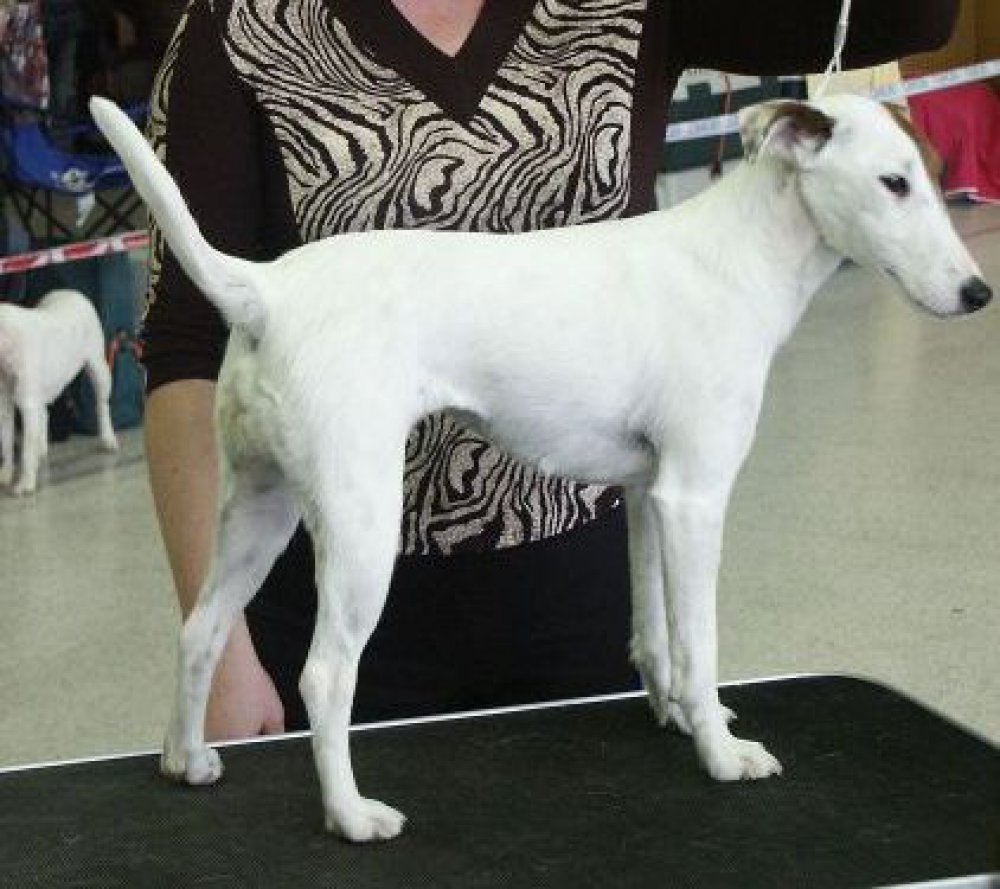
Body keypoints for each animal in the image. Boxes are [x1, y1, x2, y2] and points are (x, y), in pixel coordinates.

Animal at [0, 289, 118, 495]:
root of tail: (72, 292)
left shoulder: (27, 405)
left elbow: (25, 451)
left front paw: (26, 483)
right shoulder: (5, 406)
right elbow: (6, 444)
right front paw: (5, 475)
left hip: (98, 368)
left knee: (102, 406)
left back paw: (108, 439)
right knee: (44, 415)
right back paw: (41, 451)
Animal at [90, 93, 991, 843]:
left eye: (934, 173)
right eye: (893, 183)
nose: (978, 293)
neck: (735, 256)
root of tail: (266, 290)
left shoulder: (647, 495)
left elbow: (654, 633)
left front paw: (675, 714)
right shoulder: (695, 497)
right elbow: (699, 641)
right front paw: (722, 753)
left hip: (259, 508)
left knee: (202, 629)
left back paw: (187, 760)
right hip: (358, 526)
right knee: (323, 677)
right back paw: (350, 814)